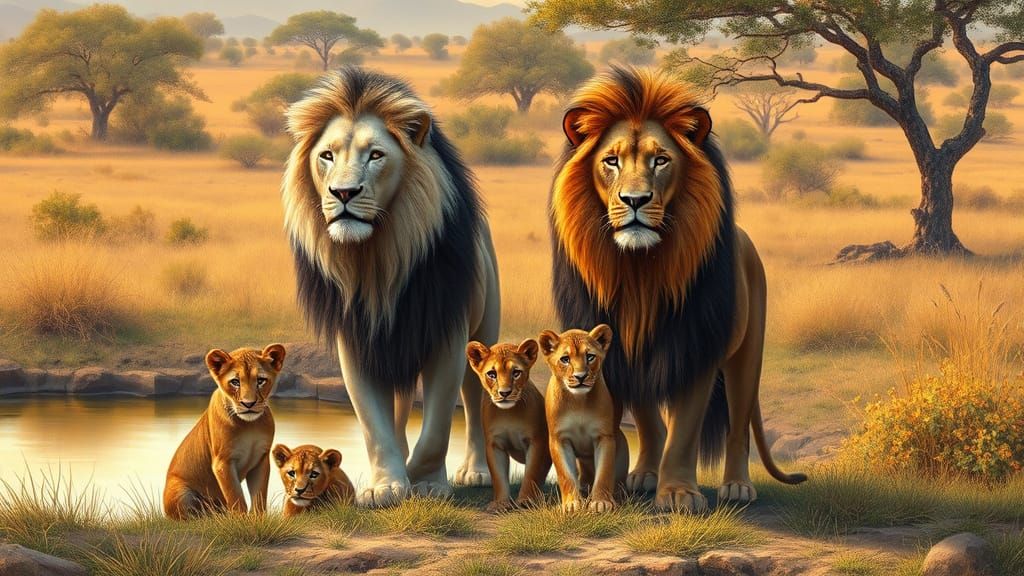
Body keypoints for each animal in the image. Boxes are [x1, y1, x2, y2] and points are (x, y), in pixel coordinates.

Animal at [163, 344, 286, 520]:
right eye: (235, 382)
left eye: (260, 380)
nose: (248, 404)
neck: (249, 426)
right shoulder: (223, 462)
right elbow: (236, 496)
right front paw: (241, 521)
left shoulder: (261, 459)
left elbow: (259, 495)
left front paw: (258, 519)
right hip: (180, 491)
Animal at [282, 67, 501, 507]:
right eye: (326, 155)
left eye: (376, 155)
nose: (343, 193)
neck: (377, 259)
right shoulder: (357, 340)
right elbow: (373, 423)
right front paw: (385, 486)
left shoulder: (447, 335)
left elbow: (436, 427)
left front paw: (427, 482)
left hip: (483, 332)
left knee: (475, 400)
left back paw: (475, 472)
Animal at [466, 339, 551, 512]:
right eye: (492, 374)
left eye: (516, 372)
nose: (505, 393)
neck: (509, 414)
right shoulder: (495, 444)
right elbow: (498, 477)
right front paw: (500, 503)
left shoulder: (536, 441)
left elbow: (531, 473)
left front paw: (526, 501)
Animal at [538, 325, 628, 513]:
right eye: (565, 359)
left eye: (590, 356)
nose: (580, 377)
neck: (578, 401)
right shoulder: (559, 439)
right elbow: (565, 475)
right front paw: (571, 504)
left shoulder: (604, 437)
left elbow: (604, 473)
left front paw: (601, 502)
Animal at [550, 67, 806, 513]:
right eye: (611, 161)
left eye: (661, 160)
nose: (635, 200)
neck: (640, 272)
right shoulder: (619, 351)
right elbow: (637, 421)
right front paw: (624, 481)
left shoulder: (695, 348)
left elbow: (685, 427)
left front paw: (679, 494)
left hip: (746, 354)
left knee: (738, 426)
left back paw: (737, 485)